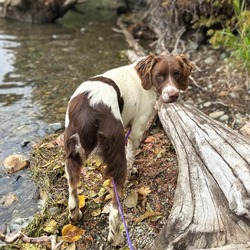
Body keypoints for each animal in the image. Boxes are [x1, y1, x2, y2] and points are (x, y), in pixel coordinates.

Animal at [63, 53, 193, 245]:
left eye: (177, 73)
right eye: (159, 75)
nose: (173, 95)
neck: (143, 78)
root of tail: (88, 109)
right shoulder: (138, 127)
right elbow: (131, 152)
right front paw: (133, 170)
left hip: (71, 154)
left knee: (72, 194)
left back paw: (75, 215)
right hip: (116, 152)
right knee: (114, 209)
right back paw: (115, 238)